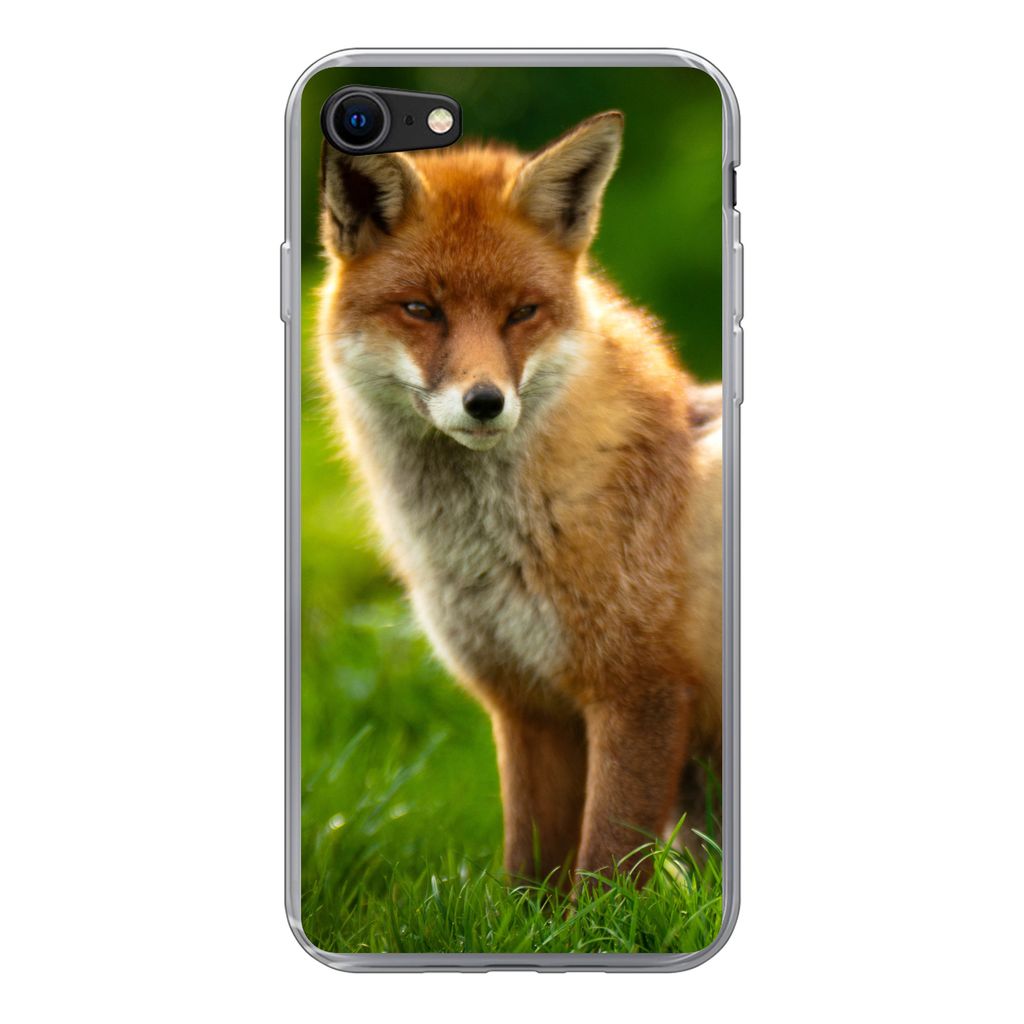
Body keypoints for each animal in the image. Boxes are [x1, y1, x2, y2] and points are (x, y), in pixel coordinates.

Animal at [316, 111, 722, 886]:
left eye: (521, 313)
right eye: (422, 310)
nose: (485, 402)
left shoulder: (641, 693)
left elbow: (605, 866)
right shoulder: (524, 705)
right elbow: (527, 872)